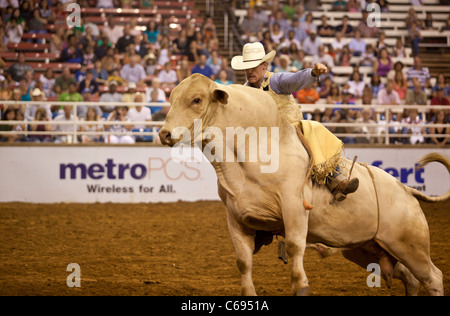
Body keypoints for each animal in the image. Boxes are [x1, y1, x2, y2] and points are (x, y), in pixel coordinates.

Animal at [158, 74, 446, 296]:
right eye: (171, 99)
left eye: (196, 100)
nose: (164, 133)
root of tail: (405, 190)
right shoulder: (235, 217)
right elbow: (243, 261)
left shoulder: (294, 207)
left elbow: (296, 248)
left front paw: (302, 286)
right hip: (368, 249)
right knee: (410, 278)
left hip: (410, 244)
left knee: (433, 276)